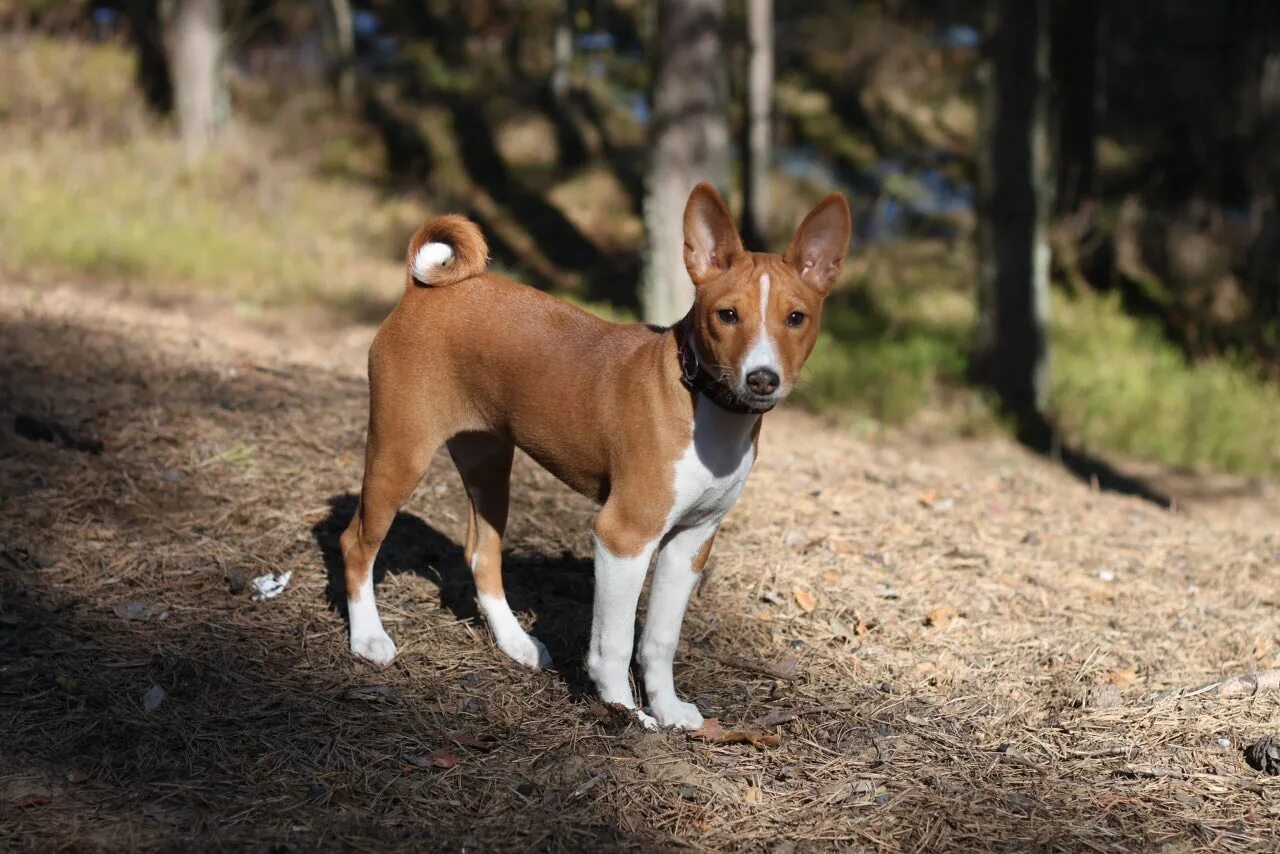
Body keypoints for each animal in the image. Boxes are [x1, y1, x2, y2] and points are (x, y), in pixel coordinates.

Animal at [340, 180, 849, 727]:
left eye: (796, 318)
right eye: (727, 315)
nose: (762, 378)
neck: (705, 404)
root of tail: (422, 292)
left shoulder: (691, 540)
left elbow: (660, 639)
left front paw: (667, 709)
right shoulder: (623, 535)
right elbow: (615, 641)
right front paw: (624, 712)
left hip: (489, 462)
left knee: (481, 552)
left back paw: (517, 644)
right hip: (402, 451)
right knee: (357, 543)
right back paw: (369, 638)